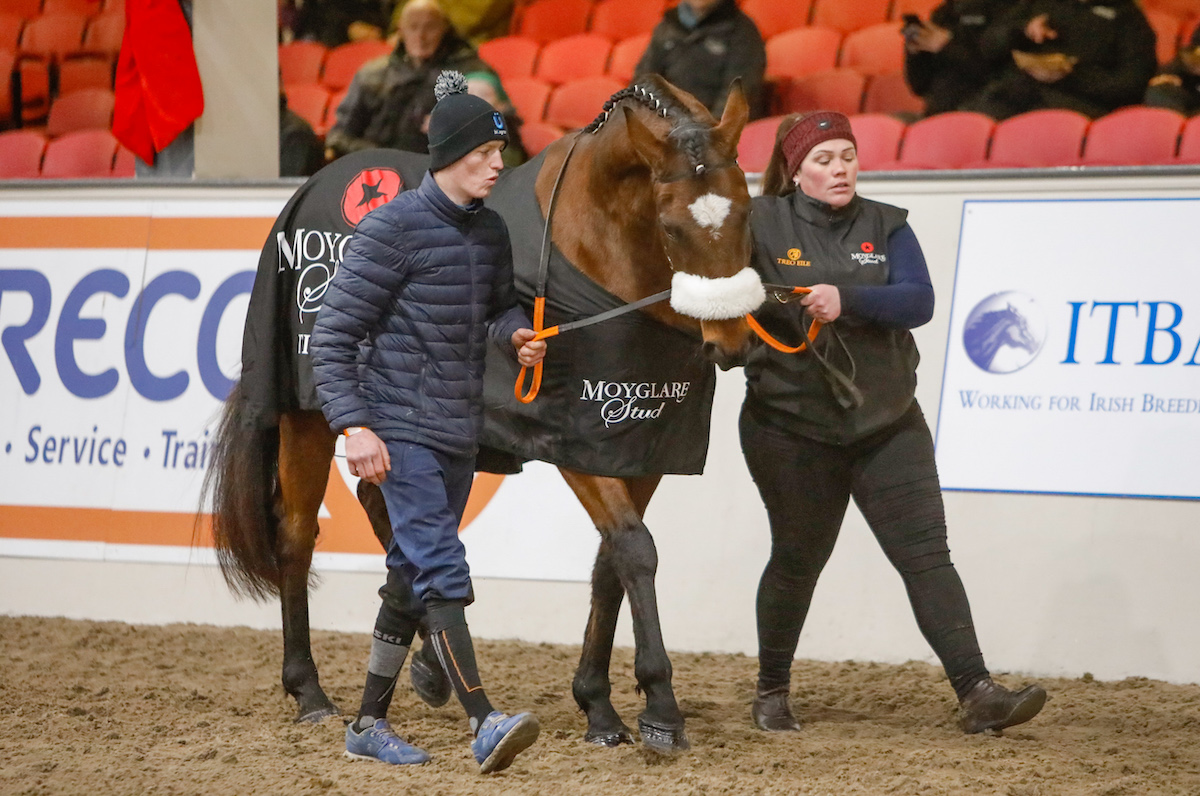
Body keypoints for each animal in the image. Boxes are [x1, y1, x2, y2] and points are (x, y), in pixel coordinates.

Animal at [201, 78, 753, 758]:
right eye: (674, 226)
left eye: (746, 211)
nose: (731, 343)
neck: (599, 247)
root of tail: (309, 189)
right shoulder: (572, 440)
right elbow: (635, 550)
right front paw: (660, 707)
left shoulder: (631, 440)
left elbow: (612, 562)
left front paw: (598, 706)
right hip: (306, 417)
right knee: (297, 535)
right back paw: (309, 690)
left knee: (384, 511)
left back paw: (427, 661)